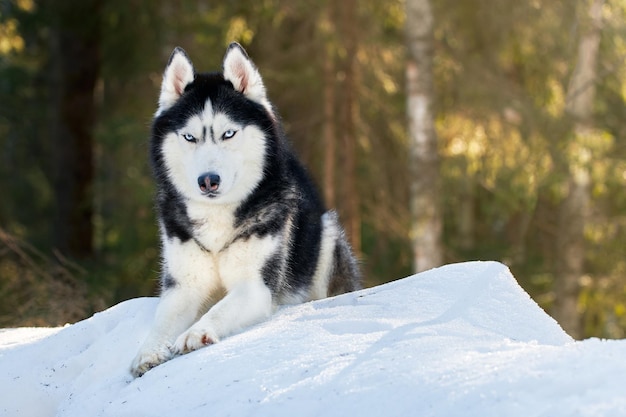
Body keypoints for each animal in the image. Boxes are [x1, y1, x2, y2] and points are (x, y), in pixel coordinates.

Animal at [129, 44, 358, 376]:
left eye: (228, 134)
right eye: (190, 137)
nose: (208, 181)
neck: (216, 218)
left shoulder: (255, 287)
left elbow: (220, 309)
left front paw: (196, 332)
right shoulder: (182, 287)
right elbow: (162, 323)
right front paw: (148, 352)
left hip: (326, 237)